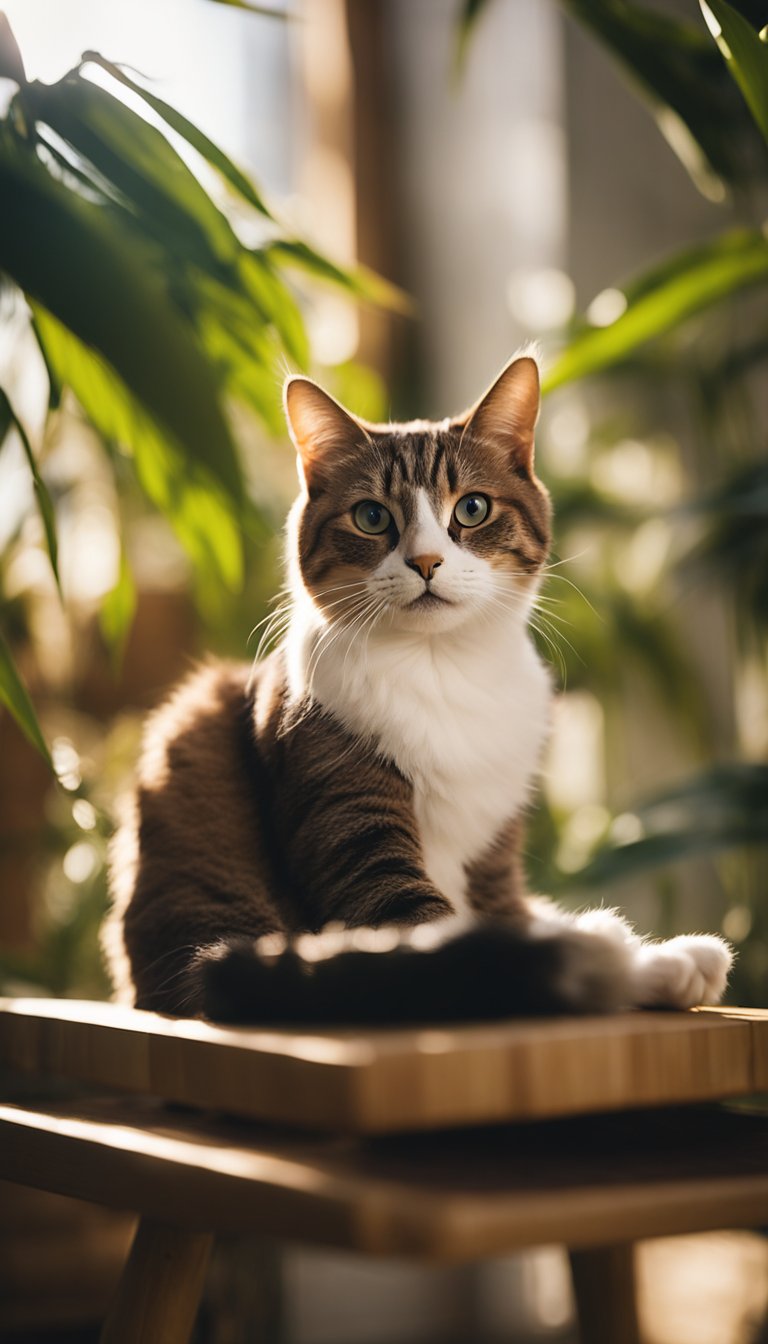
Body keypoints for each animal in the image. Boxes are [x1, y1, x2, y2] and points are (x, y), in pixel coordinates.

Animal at [102, 352, 731, 1021]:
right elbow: (448, 952)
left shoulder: (492, 860)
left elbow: (513, 919)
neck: (442, 667)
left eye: (473, 509)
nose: (426, 562)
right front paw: (603, 962)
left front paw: (659, 960)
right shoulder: (349, 820)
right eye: (372, 516)